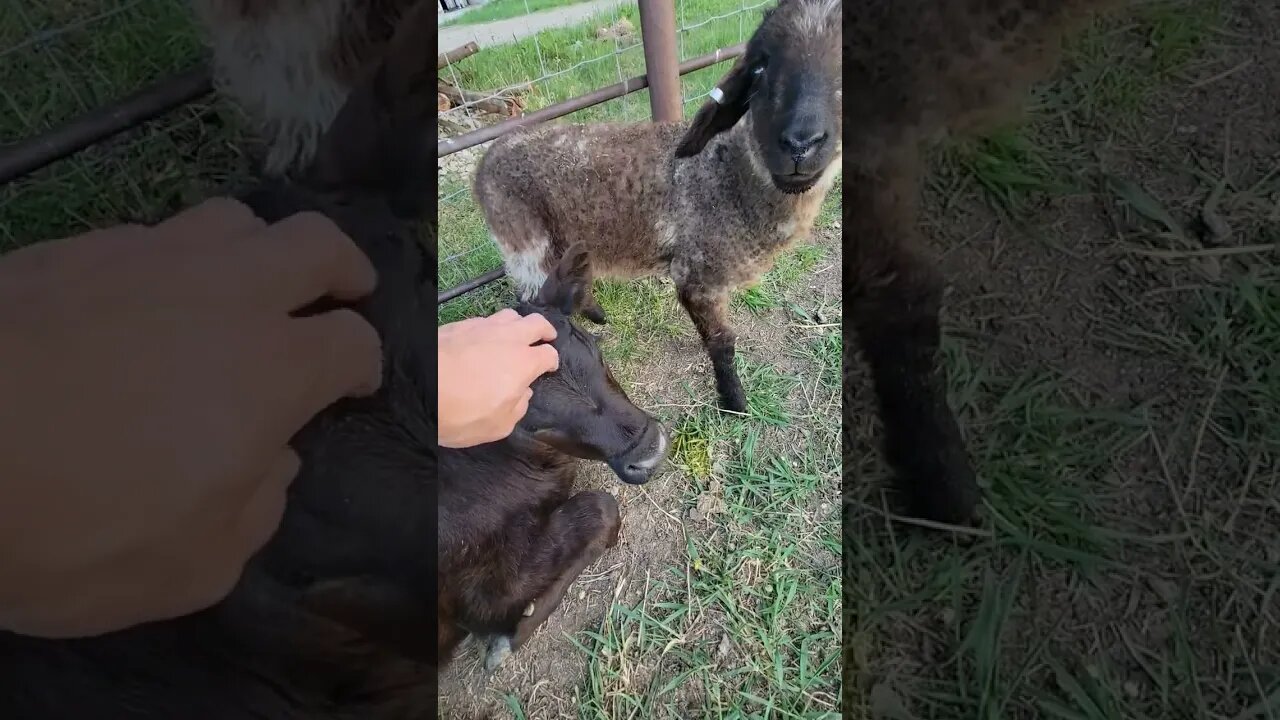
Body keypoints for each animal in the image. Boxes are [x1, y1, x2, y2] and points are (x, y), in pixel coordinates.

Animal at [2, 4, 670, 712]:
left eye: (589, 345)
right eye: (526, 413)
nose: (648, 446)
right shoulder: (478, 578)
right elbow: (596, 513)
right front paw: (506, 637)